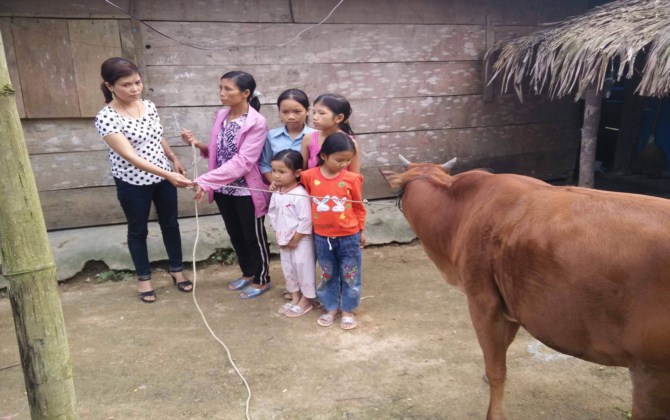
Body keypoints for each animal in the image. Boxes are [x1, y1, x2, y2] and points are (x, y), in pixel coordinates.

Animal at [384, 156, 670, 418]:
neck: (459, 211)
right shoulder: (511, 303)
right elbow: (503, 348)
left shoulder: (482, 300)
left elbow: (497, 369)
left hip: (652, 374)